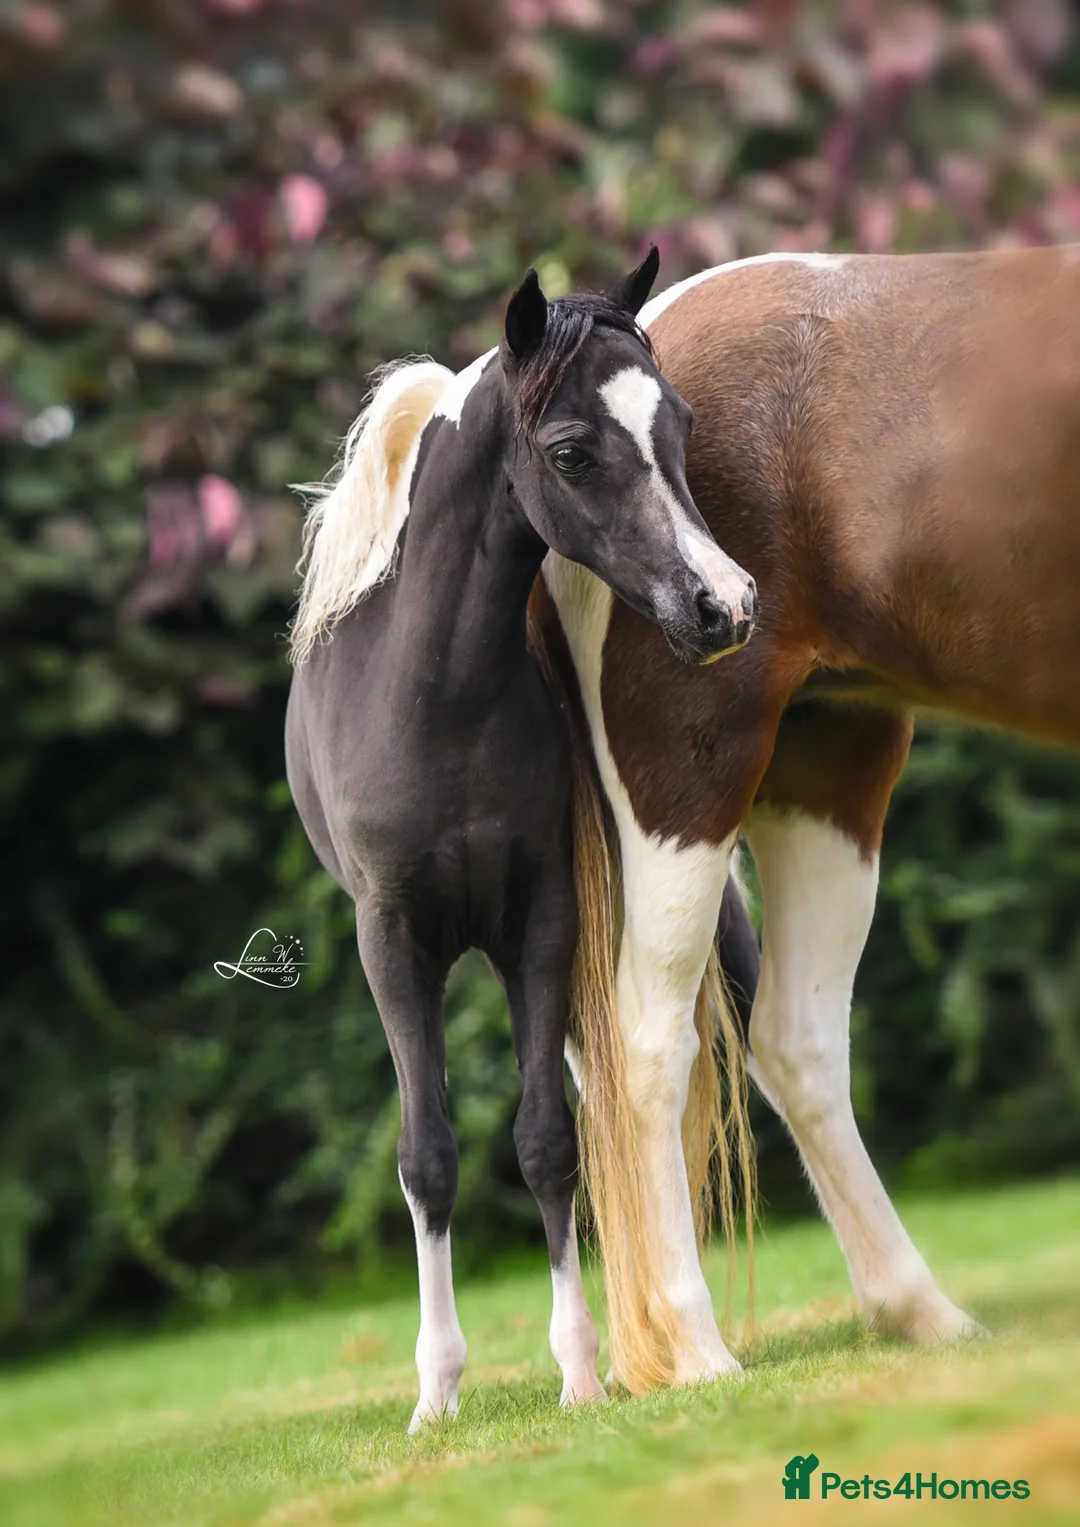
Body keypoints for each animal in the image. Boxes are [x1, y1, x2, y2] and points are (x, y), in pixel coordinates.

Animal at [284, 250, 759, 1431]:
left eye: (680, 423)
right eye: (572, 452)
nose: (725, 605)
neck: (435, 702)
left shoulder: (539, 923)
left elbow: (548, 1143)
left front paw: (582, 1375)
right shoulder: (394, 943)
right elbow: (429, 1157)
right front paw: (434, 1395)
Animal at [526, 243, 1080, 1390]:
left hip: (831, 776)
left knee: (793, 1038)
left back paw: (921, 1312)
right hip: (687, 784)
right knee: (648, 1047)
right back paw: (697, 1349)